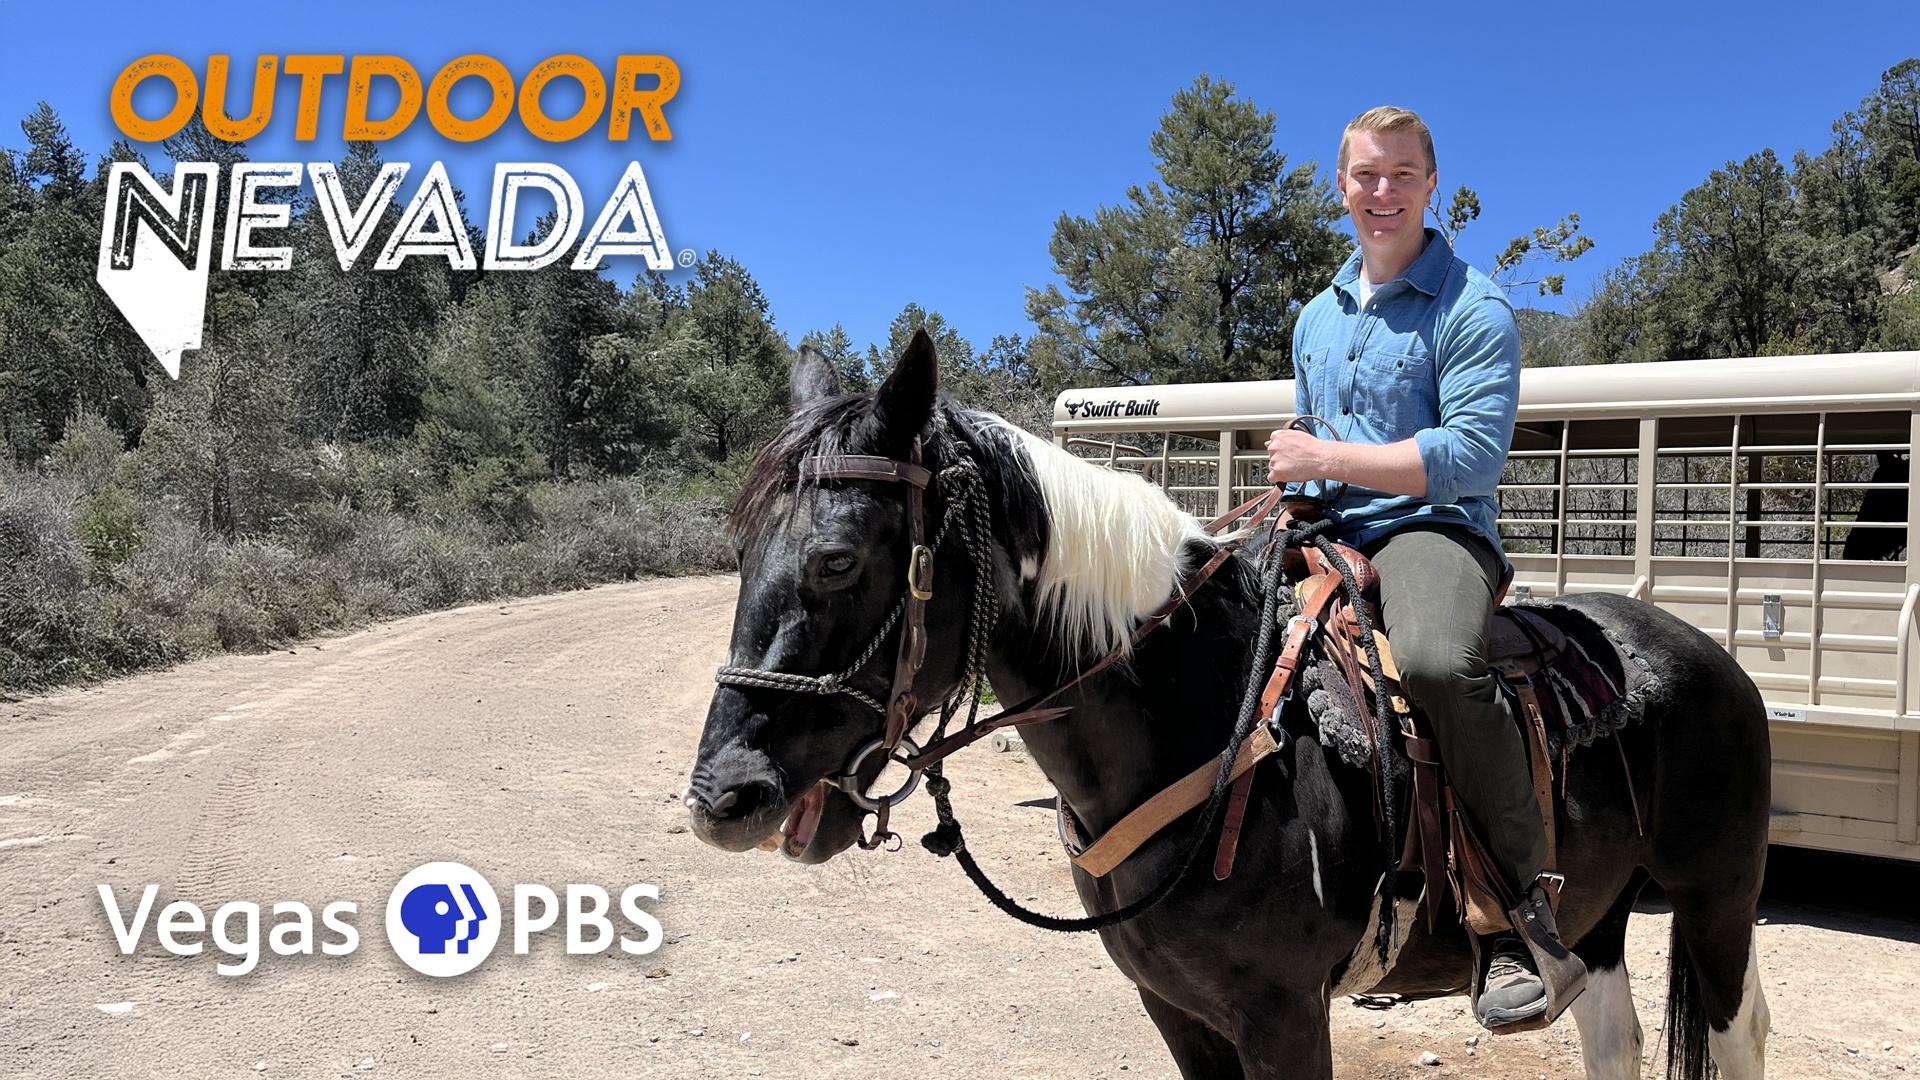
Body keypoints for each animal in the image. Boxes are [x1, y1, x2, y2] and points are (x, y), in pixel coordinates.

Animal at [683, 330, 1774, 1076]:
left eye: (837, 560)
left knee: (1738, 1033)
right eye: (741, 552)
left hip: (1717, 896)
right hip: (1594, 913)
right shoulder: (1176, 1010)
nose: (721, 798)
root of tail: (1705, 654)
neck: (1196, 726)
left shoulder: (1285, 1017)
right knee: (1616, 1038)